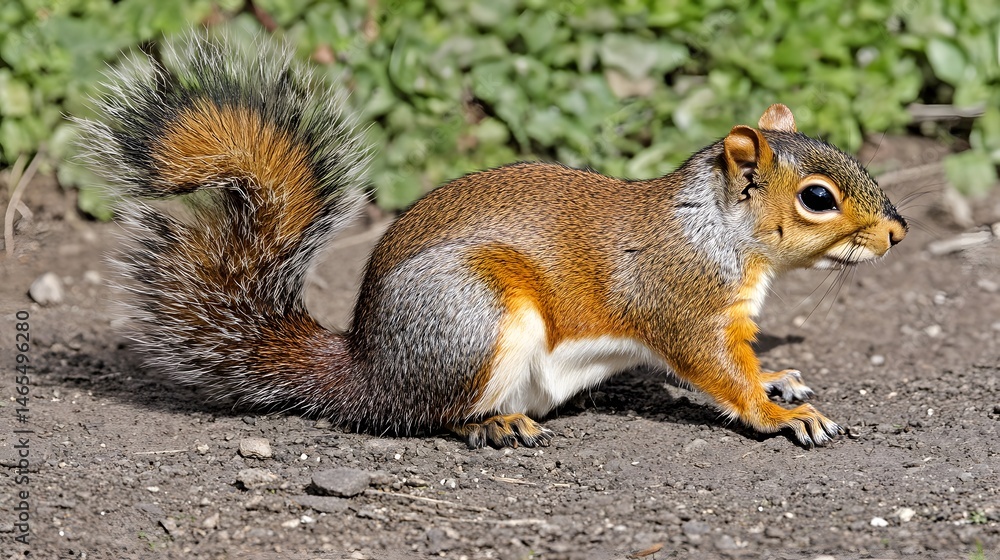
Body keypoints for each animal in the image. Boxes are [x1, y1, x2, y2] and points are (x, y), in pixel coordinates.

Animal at [80, 33, 907, 449]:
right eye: (818, 198)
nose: (897, 231)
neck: (718, 231)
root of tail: (367, 370)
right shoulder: (682, 305)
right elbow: (718, 374)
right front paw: (778, 415)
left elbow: (746, 362)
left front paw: (781, 379)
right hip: (474, 316)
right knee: (427, 416)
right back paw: (495, 423)